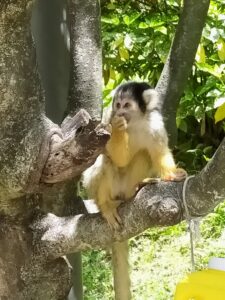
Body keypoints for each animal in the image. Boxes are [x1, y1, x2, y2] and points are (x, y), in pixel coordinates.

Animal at [82, 81, 186, 300]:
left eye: (127, 105)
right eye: (117, 105)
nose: (119, 113)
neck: (135, 123)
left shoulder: (155, 124)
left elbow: (159, 152)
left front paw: (172, 174)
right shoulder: (106, 118)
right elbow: (117, 157)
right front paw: (118, 128)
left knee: (144, 154)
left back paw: (135, 190)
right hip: (97, 188)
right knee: (106, 161)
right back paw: (106, 205)